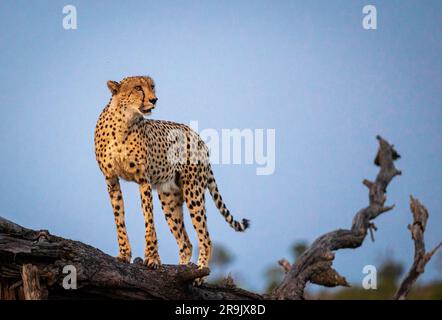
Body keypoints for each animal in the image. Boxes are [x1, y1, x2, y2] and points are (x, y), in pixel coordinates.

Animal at [93, 76, 249, 284]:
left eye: (152, 87)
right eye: (138, 88)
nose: (154, 99)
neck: (124, 120)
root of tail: (197, 135)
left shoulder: (144, 180)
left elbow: (149, 221)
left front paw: (152, 258)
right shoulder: (111, 180)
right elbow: (119, 218)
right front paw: (124, 254)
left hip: (193, 191)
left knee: (205, 238)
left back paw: (200, 273)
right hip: (169, 198)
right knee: (186, 243)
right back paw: (182, 271)